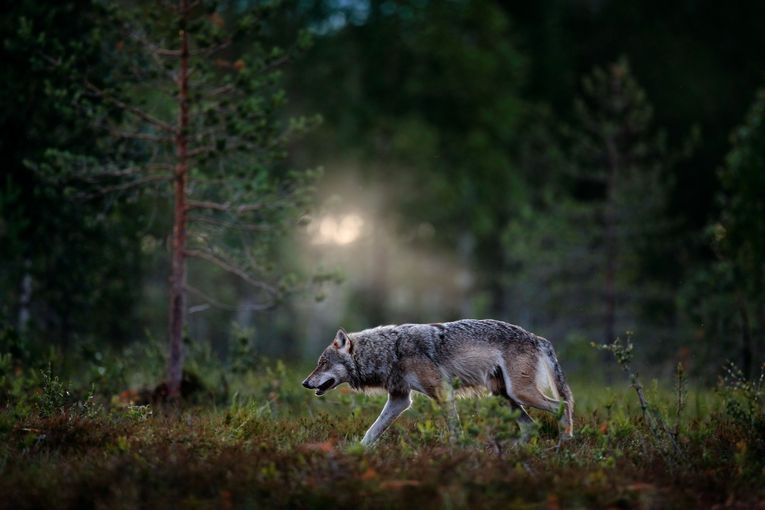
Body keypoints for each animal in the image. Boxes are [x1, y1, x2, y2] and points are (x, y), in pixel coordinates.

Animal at [301, 319, 574, 446]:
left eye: (322, 363)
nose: (304, 383)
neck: (390, 350)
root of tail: (537, 337)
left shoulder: (442, 392)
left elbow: (454, 429)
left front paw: (458, 451)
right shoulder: (400, 399)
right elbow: (372, 431)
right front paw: (355, 453)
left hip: (519, 393)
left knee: (563, 406)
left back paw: (565, 443)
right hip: (503, 396)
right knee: (531, 426)